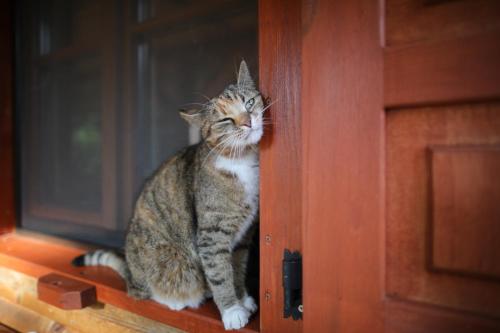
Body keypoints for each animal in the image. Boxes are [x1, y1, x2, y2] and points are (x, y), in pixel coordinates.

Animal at [73, 60, 266, 330]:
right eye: (226, 120)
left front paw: (242, 298)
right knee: (143, 292)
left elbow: (237, 268)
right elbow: (220, 273)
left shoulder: (244, 236)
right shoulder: (212, 236)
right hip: (166, 264)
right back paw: (177, 300)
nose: (248, 121)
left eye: (248, 103)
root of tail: (131, 273)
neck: (241, 159)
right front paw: (231, 310)